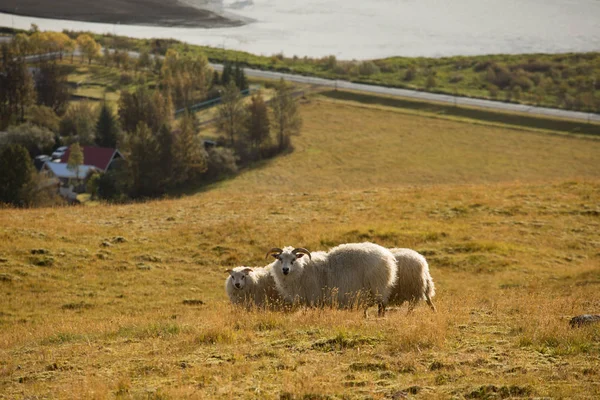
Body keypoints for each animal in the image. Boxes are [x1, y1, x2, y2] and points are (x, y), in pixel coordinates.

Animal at [266, 242, 398, 314]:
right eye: (280, 259)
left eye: (293, 259)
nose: (285, 269)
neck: (302, 270)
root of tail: (386, 255)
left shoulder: (315, 296)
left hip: (378, 286)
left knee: (382, 306)